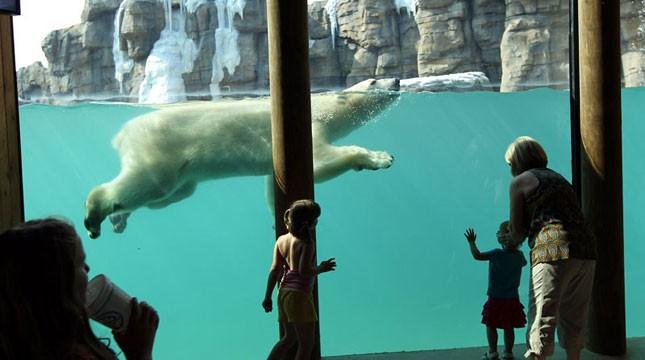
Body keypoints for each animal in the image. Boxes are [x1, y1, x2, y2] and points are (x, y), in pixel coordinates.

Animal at [84, 77, 398, 238]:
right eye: (373, 81)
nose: (395, 80)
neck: (321, 105)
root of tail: (122, 135)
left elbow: (274, 181)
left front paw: (278, 219)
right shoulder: (310, 125)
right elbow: (320, 162)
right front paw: (380, 158)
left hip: (179, 172)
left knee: (171, 194)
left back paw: (119, 219)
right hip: (160, 149)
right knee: (147, 185)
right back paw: (94, 215)